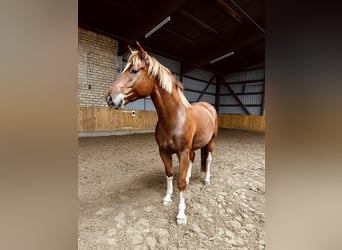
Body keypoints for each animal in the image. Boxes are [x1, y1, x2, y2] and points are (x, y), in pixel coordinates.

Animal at [105, 41, 218, 225]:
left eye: (134, 70)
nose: (110, 98)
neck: (174, 119)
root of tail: (209, 106)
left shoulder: (182, 151)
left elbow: (180, 183)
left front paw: (181, 215)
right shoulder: (164, 151)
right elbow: (170, 174)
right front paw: (167, 198)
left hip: (211, 142)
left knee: (208, 159)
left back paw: (206, 180)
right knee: (193, 158)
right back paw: (189, 177)